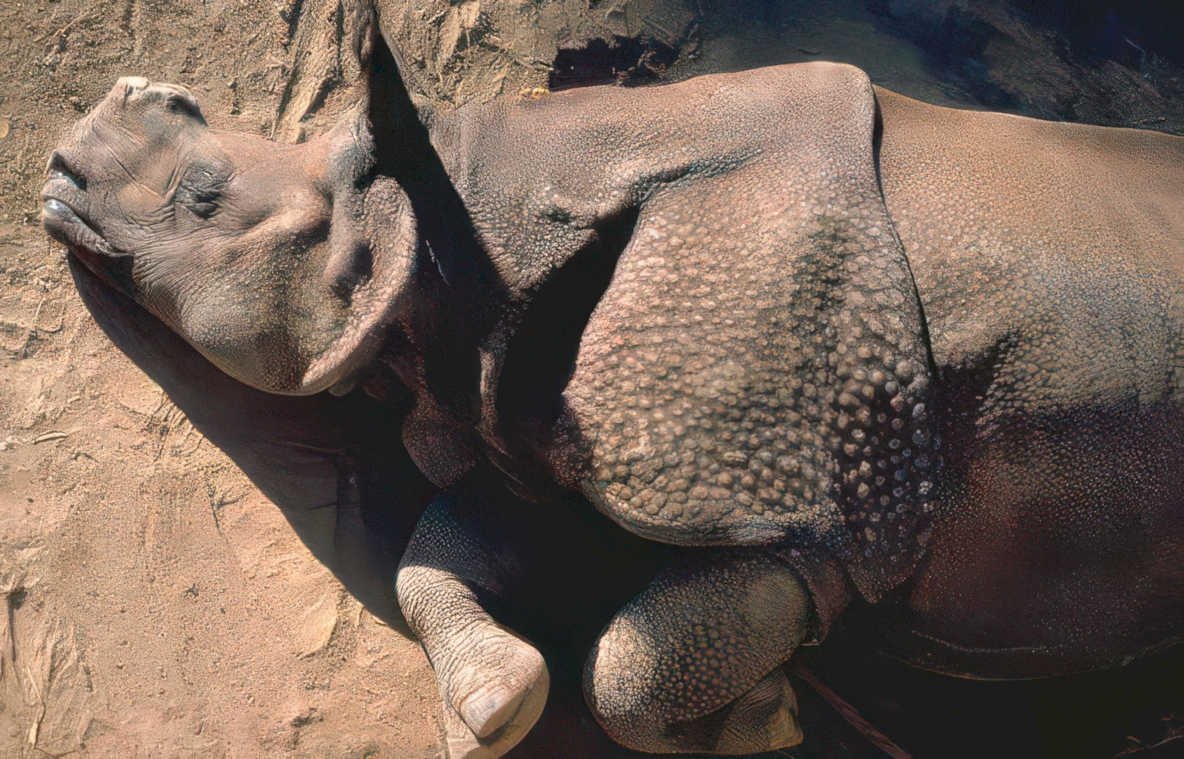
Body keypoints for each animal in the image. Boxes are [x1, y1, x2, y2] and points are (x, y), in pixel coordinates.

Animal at [41, 33, 1182, 759]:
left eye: (202, 200)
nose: (56, 168)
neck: (454, 232)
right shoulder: (529, 418)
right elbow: (436, 556)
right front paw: (495, 708)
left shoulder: (793, 509)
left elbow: (629, 668)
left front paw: (767, 718)